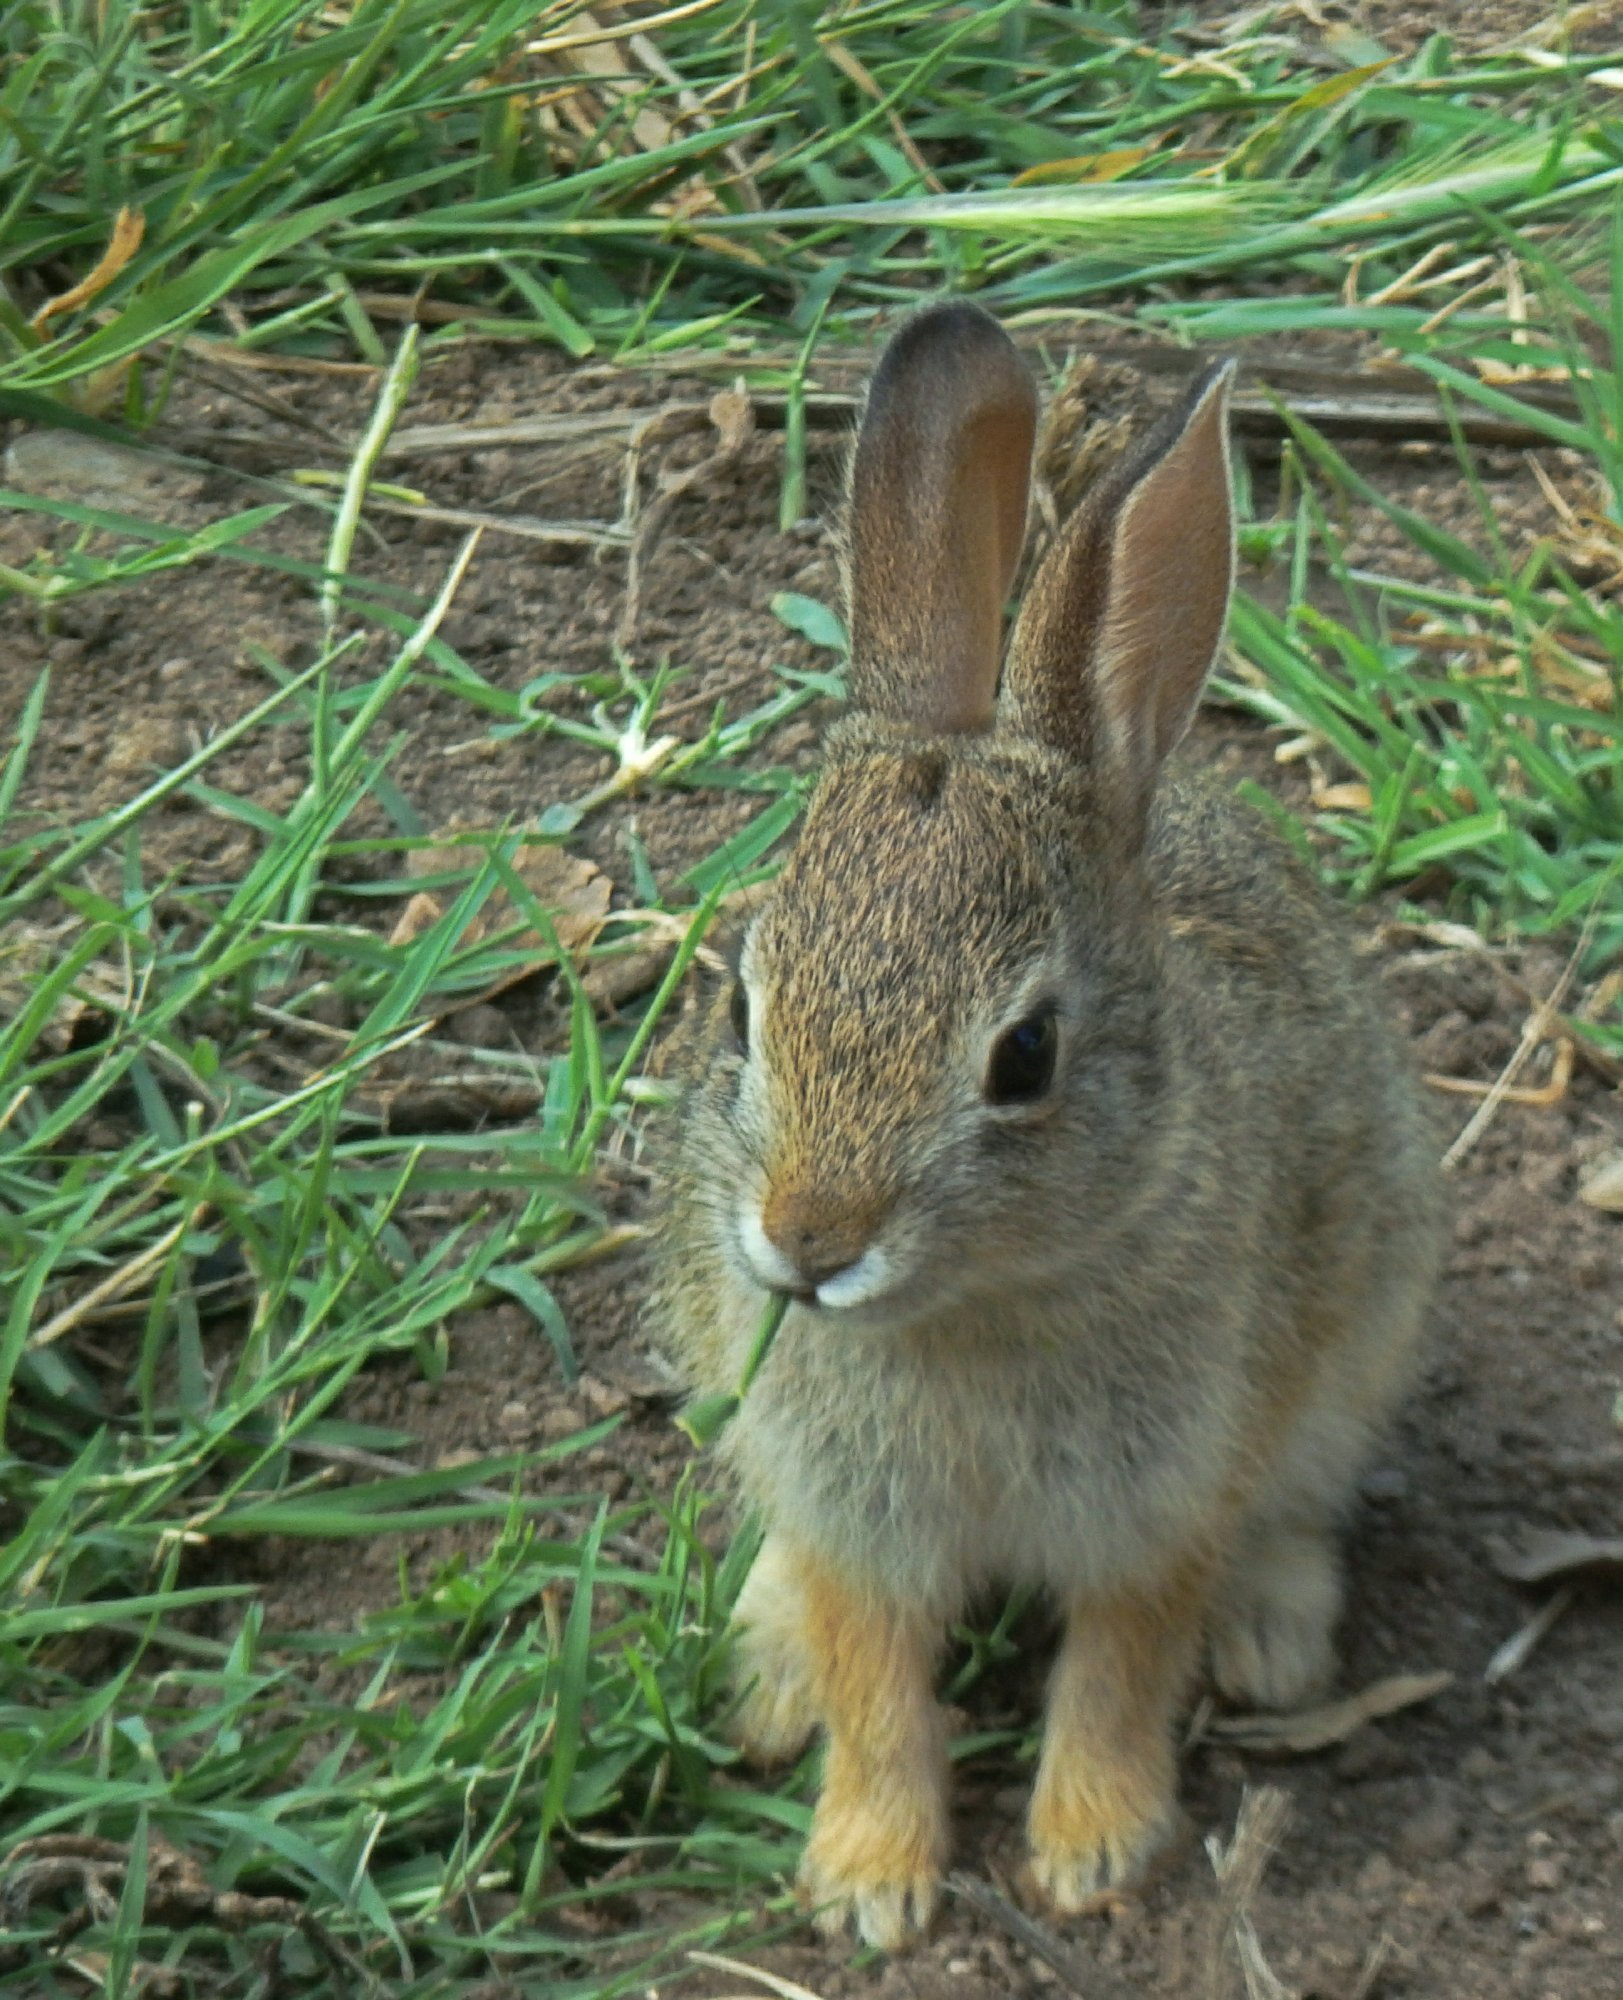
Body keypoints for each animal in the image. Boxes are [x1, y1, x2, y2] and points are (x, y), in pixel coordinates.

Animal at [651, 304, 1439, 1944]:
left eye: (1024, 1057)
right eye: (739, 1007)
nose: (807, 1243)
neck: (973, 1306)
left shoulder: (1167, 1487)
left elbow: (1123, 1662)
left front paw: (1088, 1849)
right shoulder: (854, 1511)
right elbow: (876, 1677)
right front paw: (868, 1883)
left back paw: (1271, 1638)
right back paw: (764, 1663)